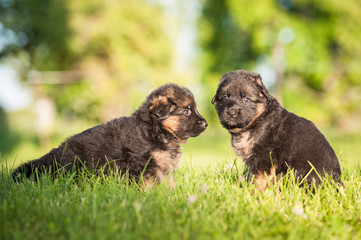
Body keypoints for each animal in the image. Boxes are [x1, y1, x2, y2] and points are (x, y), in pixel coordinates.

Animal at [12, 84, 207, 188]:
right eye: (187, 111)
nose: (205, 124)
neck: (157, 130)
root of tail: (55, 153)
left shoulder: (165, 165)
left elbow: (169, 182)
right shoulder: (143, 164)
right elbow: (148, 183)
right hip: (75, 163)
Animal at [212, 70, 342, 191]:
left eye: (246, 99)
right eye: (224, 98)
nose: (231, 112)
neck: (258, 120)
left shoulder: (263, 157)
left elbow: (258, 180)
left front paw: (253, 193)